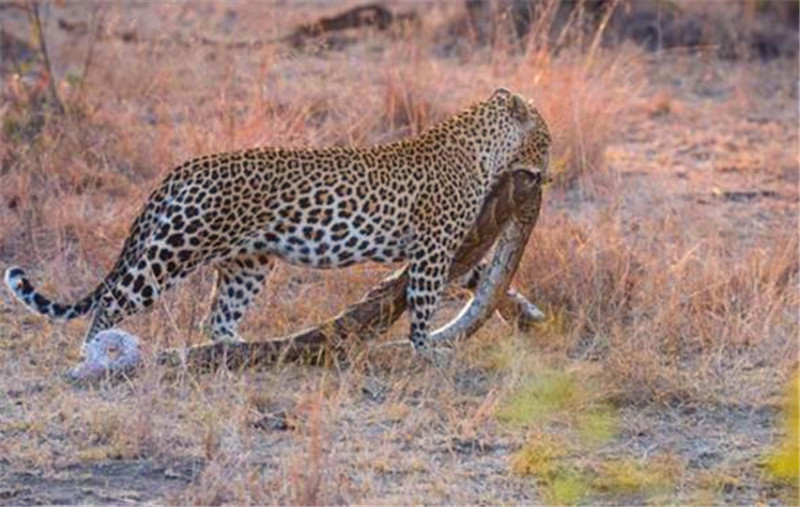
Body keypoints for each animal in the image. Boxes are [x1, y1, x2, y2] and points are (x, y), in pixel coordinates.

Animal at [3, 87, 552, 356]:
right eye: (545, 137)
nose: (548, 170)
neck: (483, 146)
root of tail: (185, 167)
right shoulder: (434, 248)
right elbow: (424, 302)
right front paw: (424, 350)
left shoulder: (438, 248)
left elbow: (474, 276)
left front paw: (521, 308)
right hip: (176, 249)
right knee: (113, 300)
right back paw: (96, 354)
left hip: (247, 263)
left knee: (218, 318)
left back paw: (243, 352)